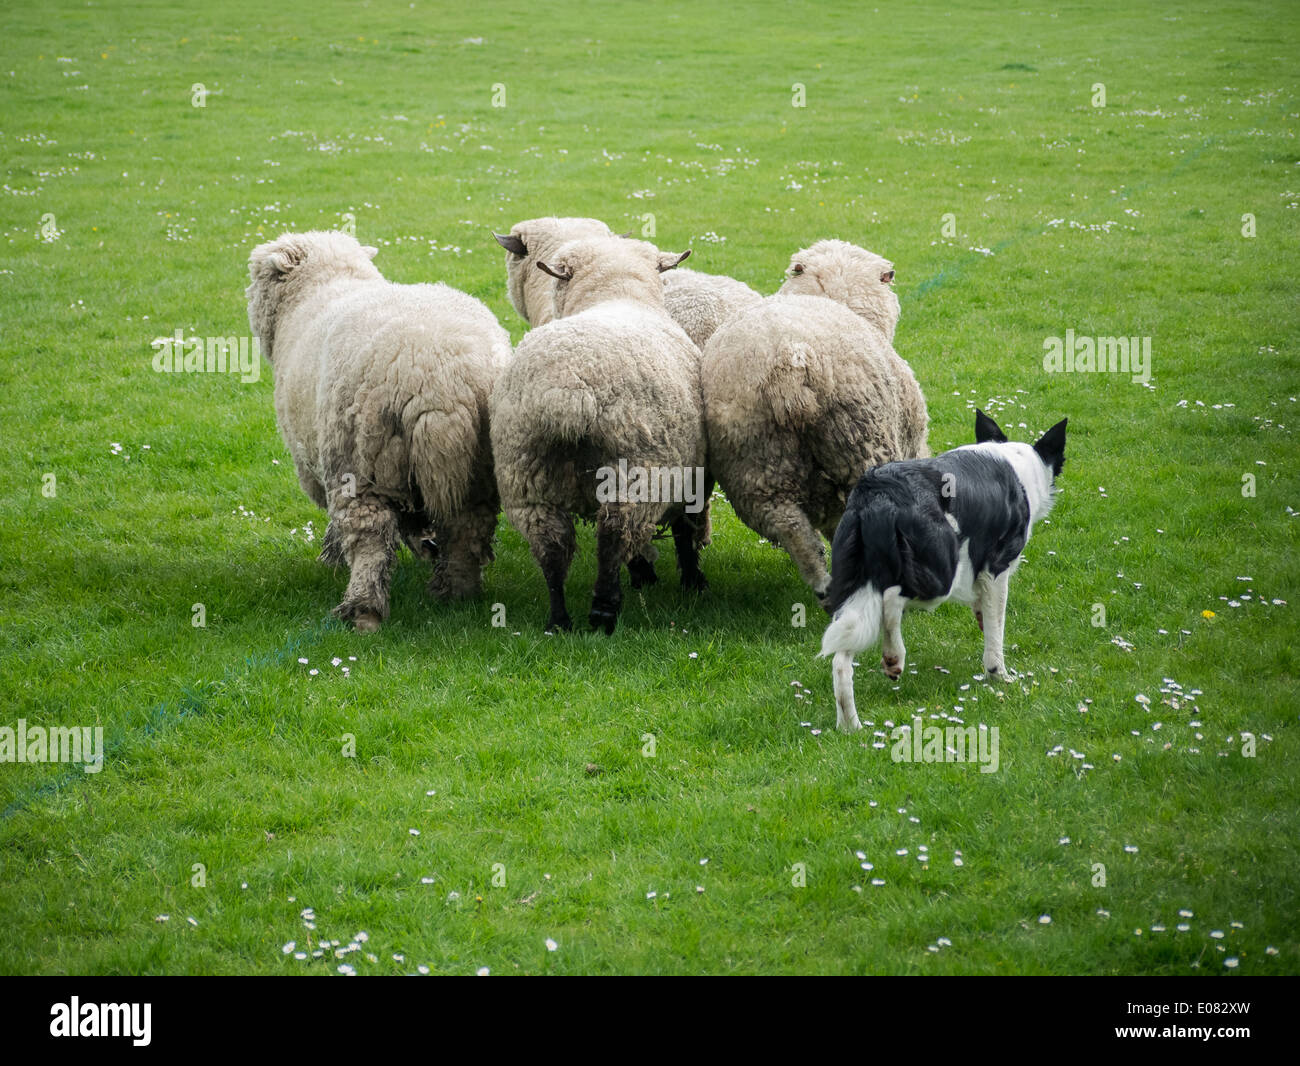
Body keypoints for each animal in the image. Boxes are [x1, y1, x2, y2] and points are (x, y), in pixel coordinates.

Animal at [244, 228, 512, 629]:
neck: (326, 284)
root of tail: (440, 382)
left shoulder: (316, 459)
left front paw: (332, 555)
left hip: (360, 460)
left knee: (368, 534)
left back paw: (362, 609)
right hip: (476, 467)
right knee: (469, 527)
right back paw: (457, 593)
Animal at [488, 235, 712, 631]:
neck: (617, 294)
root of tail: (566, 390)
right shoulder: (688, 473)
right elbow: (685, 531)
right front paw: (687, 580)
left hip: (526, 475)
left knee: (550, 545)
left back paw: (559, 621)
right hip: (636, 468)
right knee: (614, 535)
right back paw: (604, 611)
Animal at [821, 410, 1066, 733]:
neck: (1018, 463)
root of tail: (878, 491)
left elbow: (985, 615)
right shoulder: (996, 571)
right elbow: (996, 632)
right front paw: (999, 675)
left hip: (854, 584)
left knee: (841, 657)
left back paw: (850, 726)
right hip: (940, 572)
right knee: (893, 599)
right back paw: (894, 656)